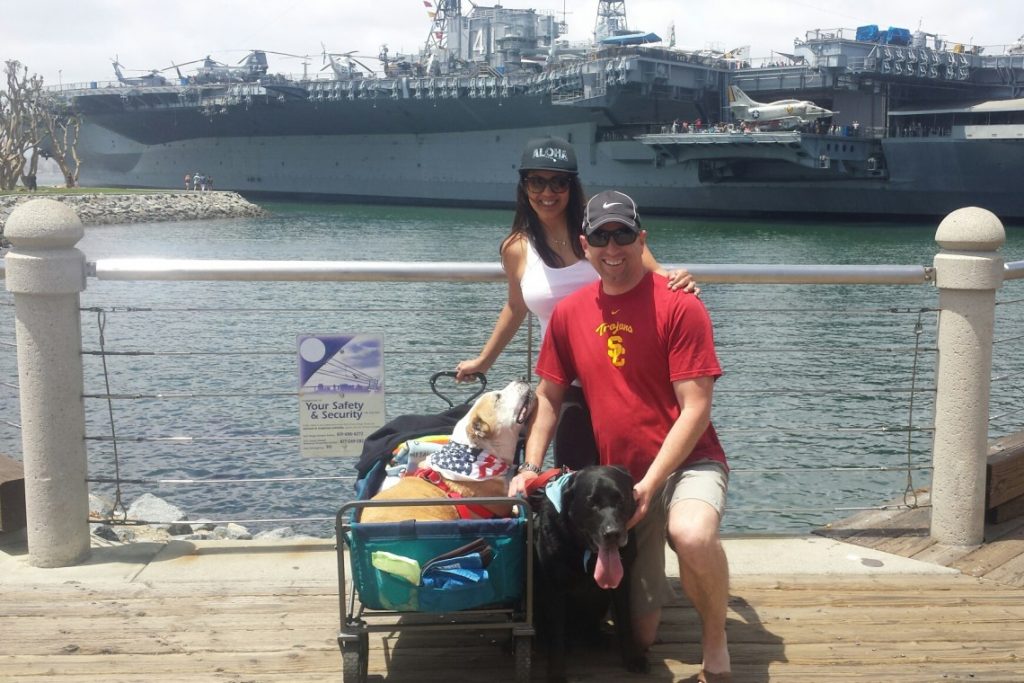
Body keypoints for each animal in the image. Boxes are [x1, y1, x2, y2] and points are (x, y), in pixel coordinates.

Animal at [528, 464, 647, 683]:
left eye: (621, 500)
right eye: (591, 503)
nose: (613, 533)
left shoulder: (622, 583)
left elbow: (625, 620)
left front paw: (633, 658)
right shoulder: (555, 589)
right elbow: (556, 635)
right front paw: (556, 673)